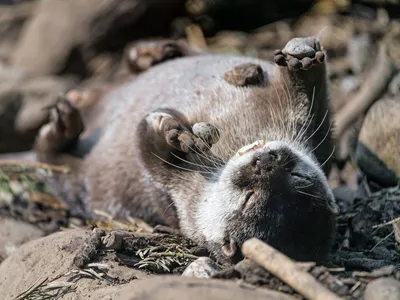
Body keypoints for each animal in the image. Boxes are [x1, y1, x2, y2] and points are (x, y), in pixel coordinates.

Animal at [33, 36, 338, 264]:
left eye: (249, 198)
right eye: (297, 175)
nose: (267, 161)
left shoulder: (179, 195)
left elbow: (146, 152)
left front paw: (165, 134)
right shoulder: (314, 130)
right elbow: (314, 99)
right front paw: (303, 62)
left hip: (77, 181)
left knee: (51, 161)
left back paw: (63, 126)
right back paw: (153, 53)